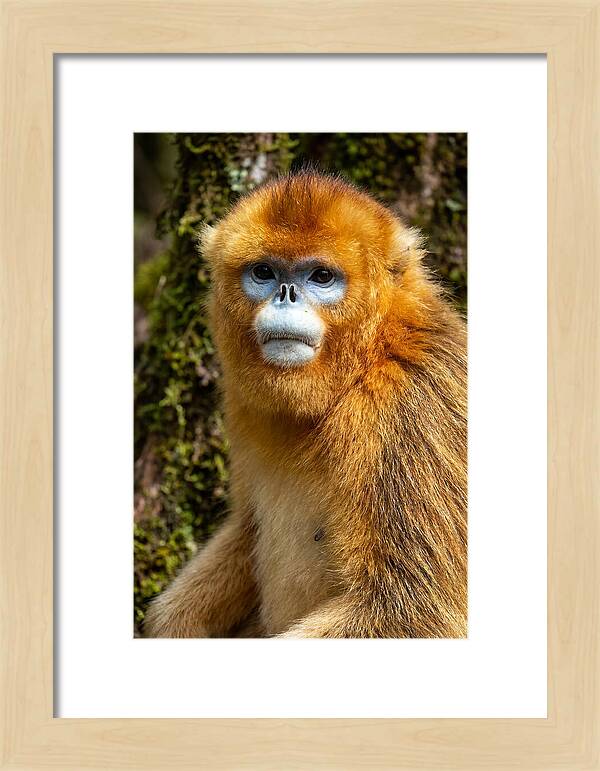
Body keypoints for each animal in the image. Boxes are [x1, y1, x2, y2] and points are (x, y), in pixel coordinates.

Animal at [144, 171, 467, 639]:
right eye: (264, 272)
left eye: (321, 277)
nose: (286, 293)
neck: (366, 364)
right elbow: (246, 529)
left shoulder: (416, 406)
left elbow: (416, 610)